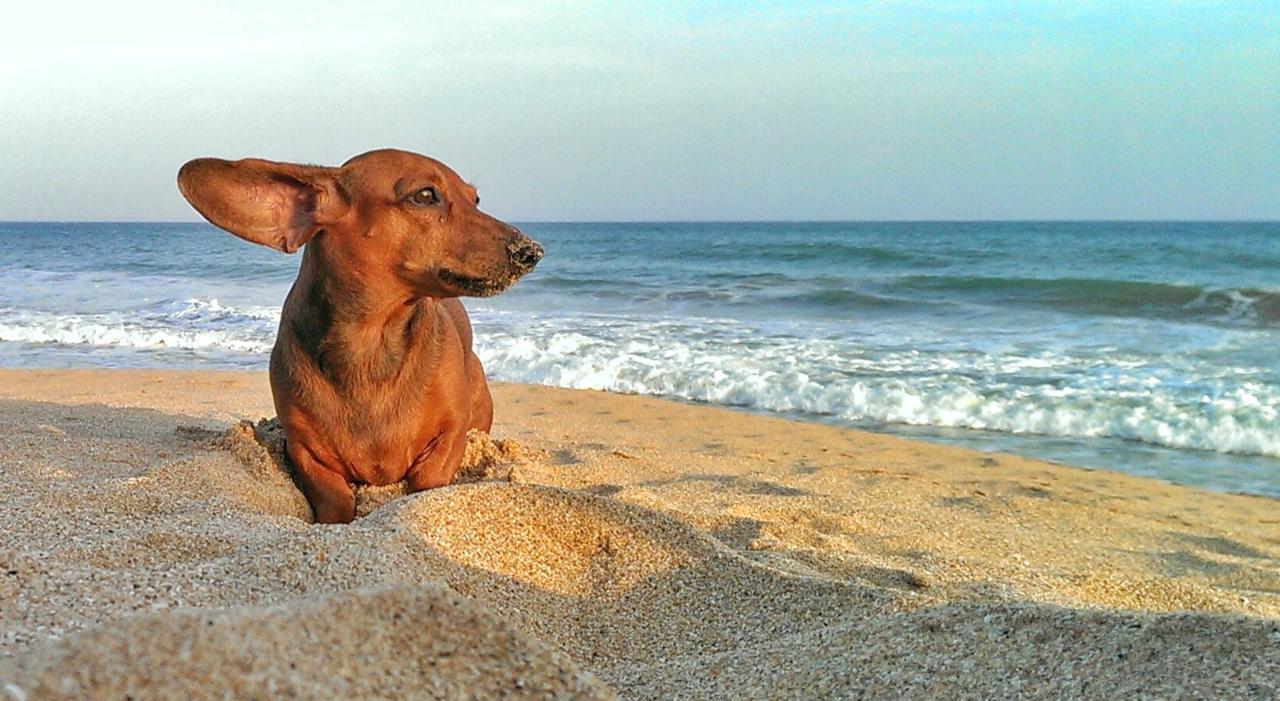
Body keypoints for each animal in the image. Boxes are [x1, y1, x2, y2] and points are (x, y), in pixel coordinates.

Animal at [179, 149, 540, 519]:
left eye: (475, 199)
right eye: (426, 195)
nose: (532, 252)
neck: (371, 345)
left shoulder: (450, 436)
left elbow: (428, 479)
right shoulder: (304, 451)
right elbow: (333, 497)